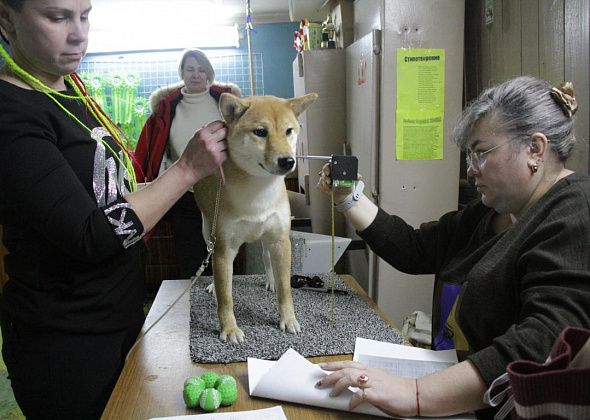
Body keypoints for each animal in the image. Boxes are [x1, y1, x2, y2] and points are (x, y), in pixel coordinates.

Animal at [194, 91, 320, 342]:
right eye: (260, 132)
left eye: (289, 130)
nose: (288, 161)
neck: (259, 191)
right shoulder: (224, 248)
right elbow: (226, 297)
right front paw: (229, 328)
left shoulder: (281, 240)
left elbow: (285, 289)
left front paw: (288, 319)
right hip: (208, 231)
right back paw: (213, 285)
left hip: (266, 236)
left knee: (265, 256)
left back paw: (271, 280)